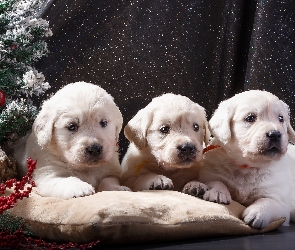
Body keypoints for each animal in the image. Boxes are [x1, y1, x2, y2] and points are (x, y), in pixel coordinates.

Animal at [190, 90, 295, 229]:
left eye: (281, 118)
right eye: (250, 118)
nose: (275, 134)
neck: (246, 166)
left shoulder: (280, 200)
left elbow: (269, 201)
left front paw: (257, 212)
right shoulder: (210, 172)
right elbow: (215, 181)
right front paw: (218, 192)